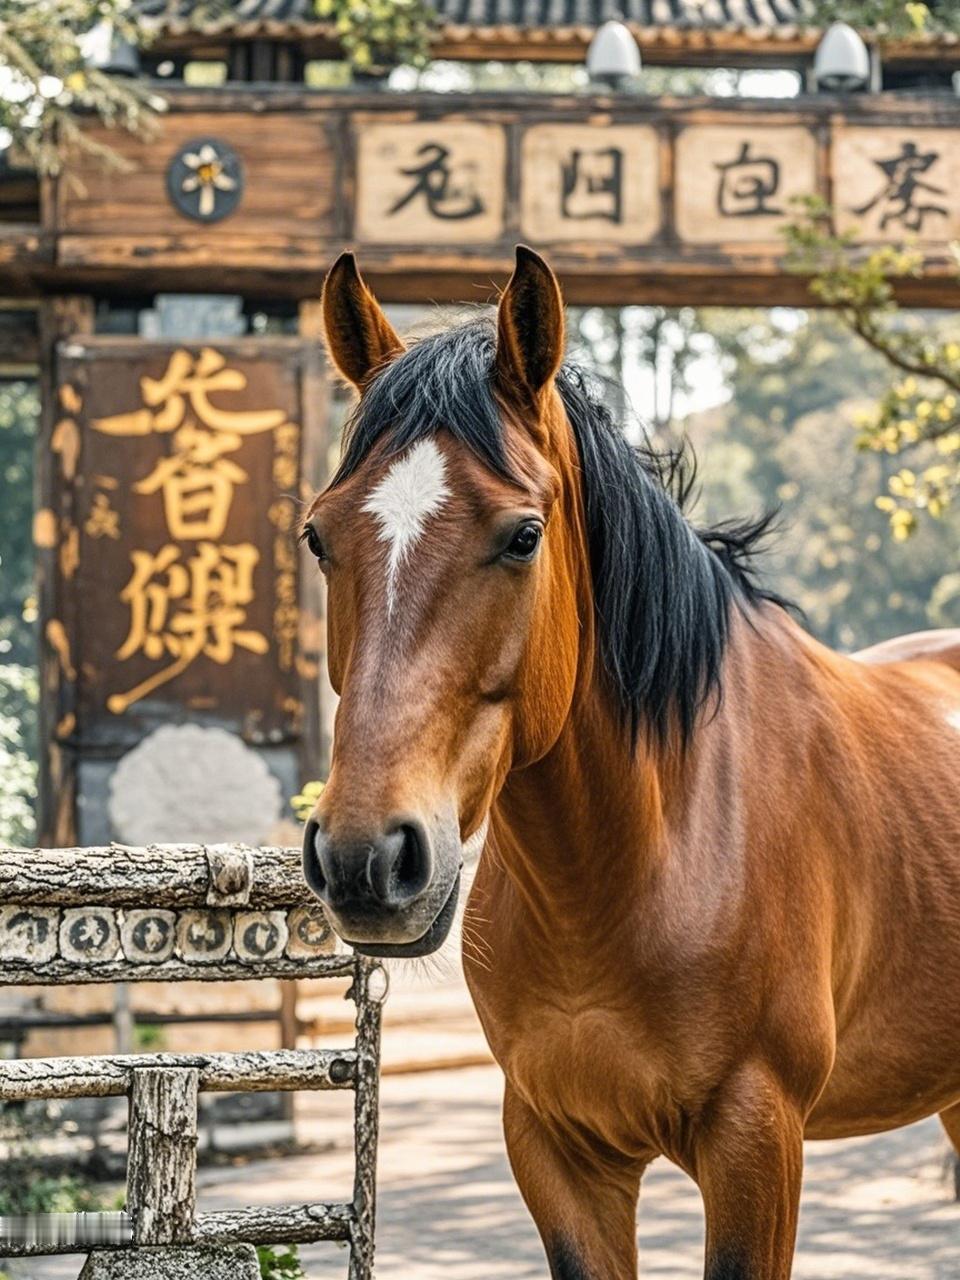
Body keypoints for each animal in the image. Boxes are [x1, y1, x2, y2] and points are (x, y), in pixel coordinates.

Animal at [301, 245, 960, 1279]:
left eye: (523, 536)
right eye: (318, 535)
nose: (366, 859)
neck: (648, 855)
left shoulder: (757, 1140)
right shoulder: (555, 1146)